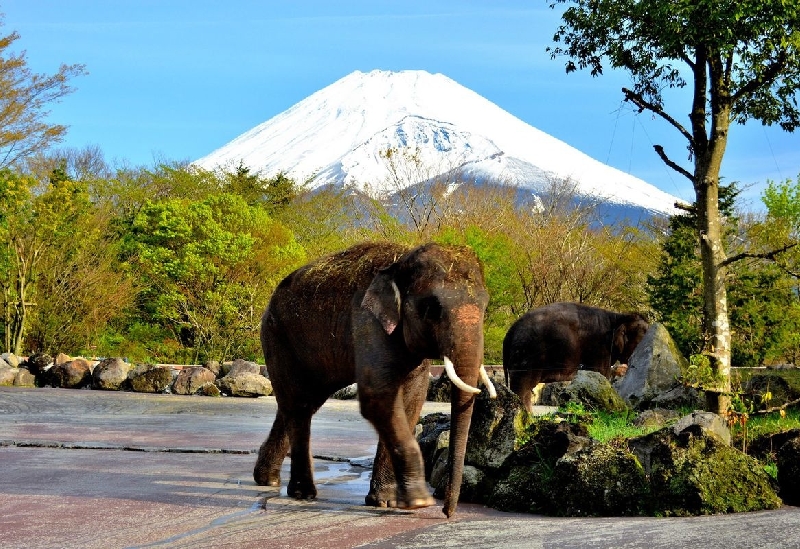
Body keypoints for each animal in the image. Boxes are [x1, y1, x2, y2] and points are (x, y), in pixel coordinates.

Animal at [255, 242, 494, 516]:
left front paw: (386, 501)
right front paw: (419, 501)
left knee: (300, 402)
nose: (446, 512)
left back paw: (267, 479)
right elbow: (377, 398)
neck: (400, 262)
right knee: (299, 404)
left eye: (485, 307)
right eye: (431, 308)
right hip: (277, 336)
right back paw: (302, 493)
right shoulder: (367, 320)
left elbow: (411, 399)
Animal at [506, 300, 648, 412]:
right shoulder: (599, 348)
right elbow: (601, 374)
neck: (619, 317)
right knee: (523, 387)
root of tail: (510, 332)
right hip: (527, 355)